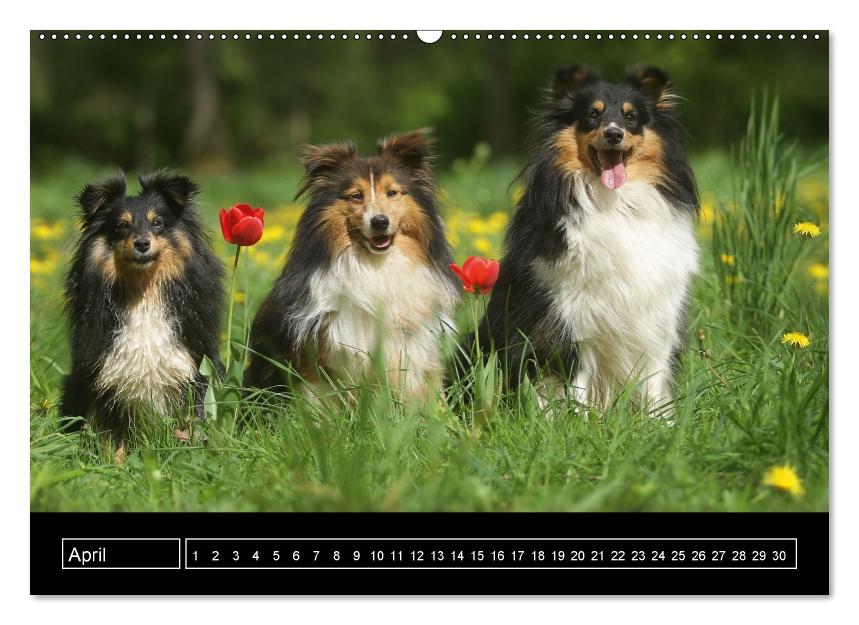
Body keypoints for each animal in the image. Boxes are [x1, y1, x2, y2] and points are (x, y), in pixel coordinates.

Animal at [61, 172, 227, 458]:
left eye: (157, 222)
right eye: (121, 226)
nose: (142, 243)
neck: (144, 291)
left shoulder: (195, 366)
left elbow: (193, 422)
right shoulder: (107, 375)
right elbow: (112, 435)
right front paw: (114, 463)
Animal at [478, 64, 700, 414]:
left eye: (631, 117)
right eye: (592, 116)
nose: (614, 134)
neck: (614, 202)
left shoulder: (658, 318)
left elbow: (654, 383)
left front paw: (660, 423)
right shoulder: (572, 318)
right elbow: (577, 385)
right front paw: (578, 422)